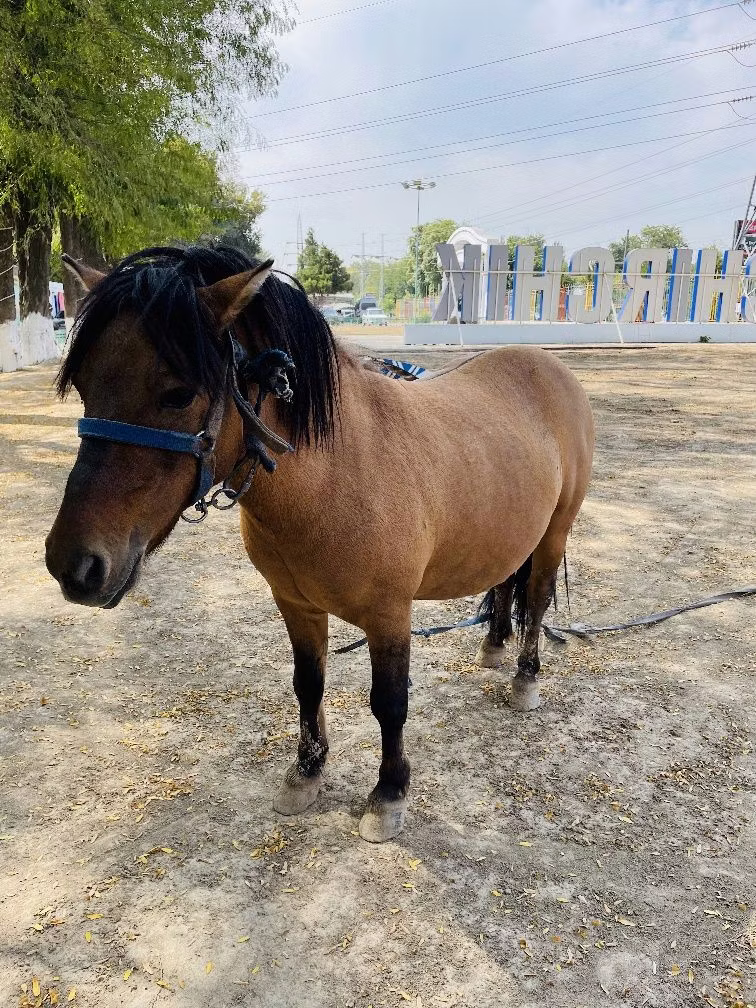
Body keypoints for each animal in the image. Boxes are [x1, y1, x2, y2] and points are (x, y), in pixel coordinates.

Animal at [45, 244, 594, 843]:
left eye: (178, 393)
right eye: (84, 387)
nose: (74, 566)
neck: (337, 472)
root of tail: (548, 367)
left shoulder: (389, 615)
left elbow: (390, 704)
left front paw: (388, 794)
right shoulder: (296, 604)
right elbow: (308, 685)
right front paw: (306, 772)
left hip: (555, 532)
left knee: (535, 601)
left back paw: (524, 678)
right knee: (507, 581)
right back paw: (494, 647)